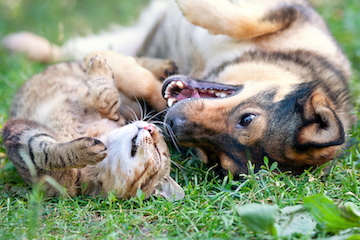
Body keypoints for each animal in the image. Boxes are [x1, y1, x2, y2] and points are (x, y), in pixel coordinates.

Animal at [1, 54, 184, 201]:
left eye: (158, 152)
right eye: (158, 136)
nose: (151, 127)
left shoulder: (19, 136)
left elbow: (46, 154)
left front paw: (83, 151)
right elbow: (108, 99)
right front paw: (99, 68)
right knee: (135, 64)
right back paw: (165, 66)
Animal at [2, 0, 358, 176]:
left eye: (216, 159)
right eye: (247, 118)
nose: (173, 124)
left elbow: (147, 86)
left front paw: (117, 66)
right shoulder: (291, 13)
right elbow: (242, 19)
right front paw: (192, 6)